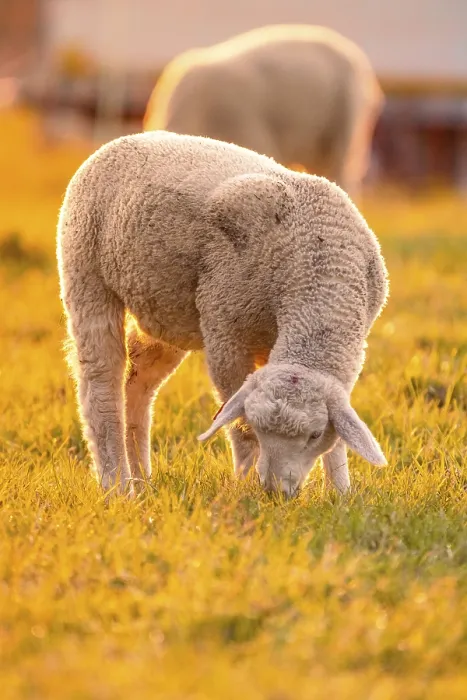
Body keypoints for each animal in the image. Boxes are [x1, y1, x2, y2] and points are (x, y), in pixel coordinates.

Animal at [56, 130, 389, 498]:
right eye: (260, 427)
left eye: (315, 434)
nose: (276, 491)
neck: (321, 273)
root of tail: (127, 139)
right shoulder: (225, 330)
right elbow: (240, 427)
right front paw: (245, 486)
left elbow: (340, 439)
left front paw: (340, 493)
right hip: (85, 270)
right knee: (101, 386)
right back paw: (117, 485)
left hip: (164, 311)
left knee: (138, 383)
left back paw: (143, 481)